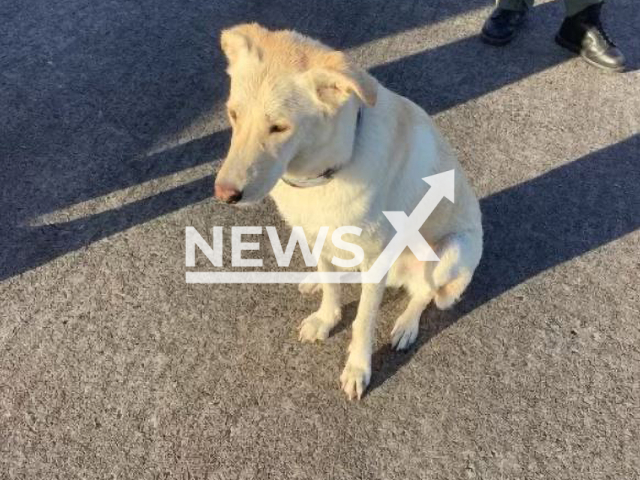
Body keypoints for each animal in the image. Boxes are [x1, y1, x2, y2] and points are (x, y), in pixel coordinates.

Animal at [215, 23, 480, 398]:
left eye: (279, 127)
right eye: (233, 114)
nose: (224, 194)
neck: (321, 174)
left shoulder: (376, 259)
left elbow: (363, 321)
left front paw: (358, 367)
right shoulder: (314, 233)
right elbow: (331, 286)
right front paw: (326, 317)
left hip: (452, 250)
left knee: (426, 293)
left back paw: (406, 325)